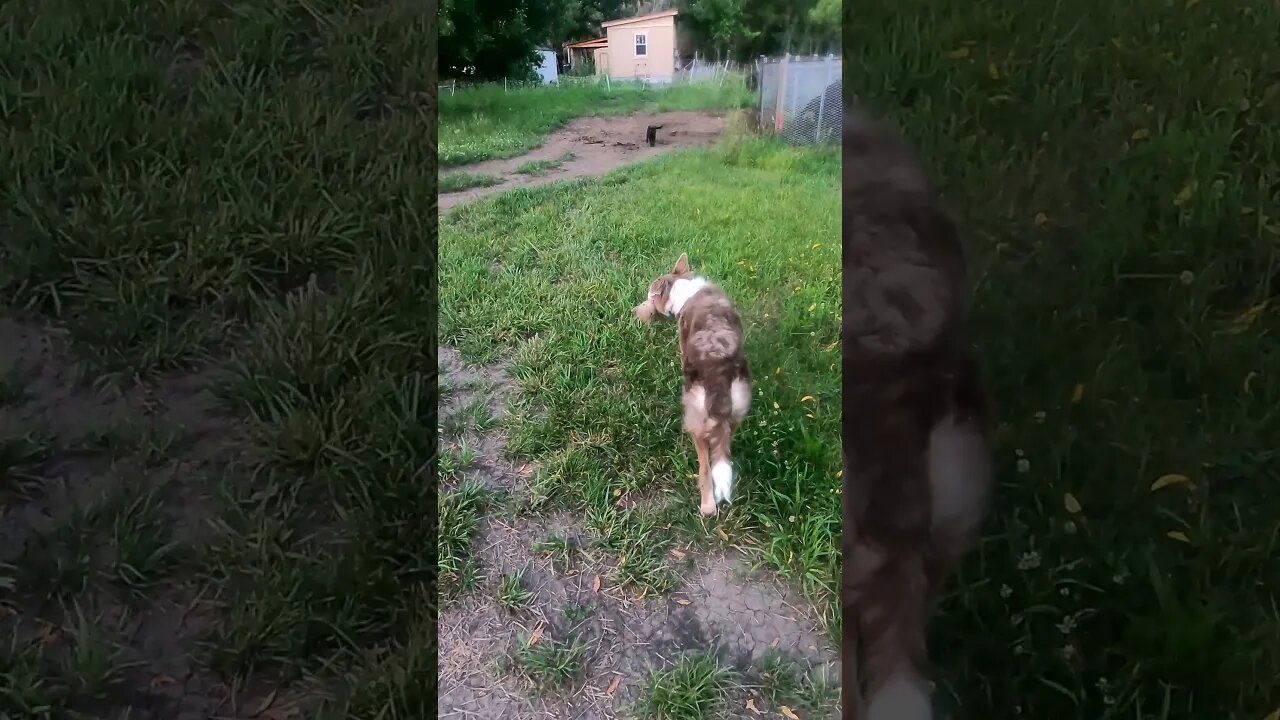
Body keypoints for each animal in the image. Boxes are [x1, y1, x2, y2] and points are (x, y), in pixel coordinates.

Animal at [632, 252, 747, 515]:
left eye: (649, 297)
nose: (634, 310)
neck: (683, 289)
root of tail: (718, 369)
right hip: (737, 409)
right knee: (722, 450)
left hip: (694, 417)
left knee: (705, 466)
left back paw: (707, 506)